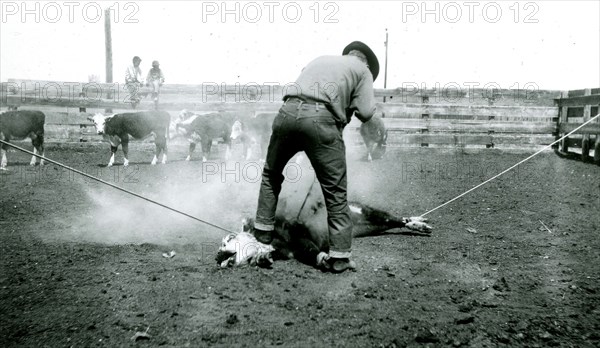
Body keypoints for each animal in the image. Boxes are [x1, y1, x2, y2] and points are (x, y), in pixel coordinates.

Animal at [216, 198, 432, 270]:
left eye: (228, 239)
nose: (218, 255)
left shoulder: (295, 232)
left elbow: (310, 246)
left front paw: (326, 259)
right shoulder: (292, 250)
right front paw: (263, 259)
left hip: (367, 212)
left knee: (394, 219)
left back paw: (418, 223)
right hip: (369, 227)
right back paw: (420, 224)